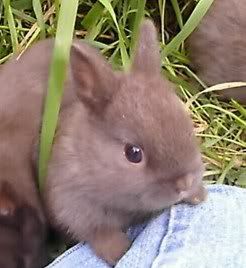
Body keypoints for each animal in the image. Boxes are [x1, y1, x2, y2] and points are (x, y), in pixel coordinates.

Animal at [0, 19, 207, 268]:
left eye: (187, 125)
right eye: (133, 153)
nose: (184, 183)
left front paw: (198, 195)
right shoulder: (73, 206)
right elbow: (98, 233)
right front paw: (120, 252)